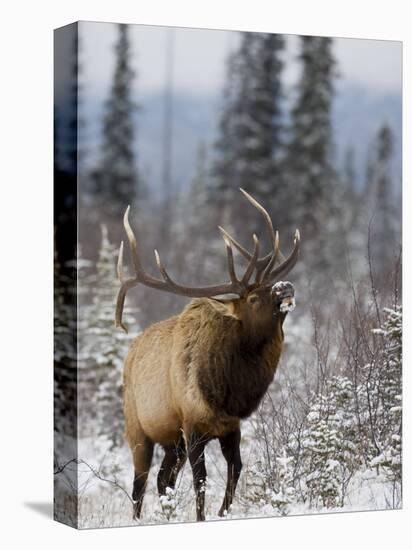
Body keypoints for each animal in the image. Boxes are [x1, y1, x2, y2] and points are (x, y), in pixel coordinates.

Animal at [114, 190, 300, 520]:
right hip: (137, 429)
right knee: (140, 484)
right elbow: (200, 479)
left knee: (163, 479)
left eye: (269, 285)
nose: (285, 286)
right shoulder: (192, 426)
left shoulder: (230, 427)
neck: (229, 392)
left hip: (172, 442)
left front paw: (223, 511)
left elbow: (236, 469)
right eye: (253, 298)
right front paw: (203, 516)